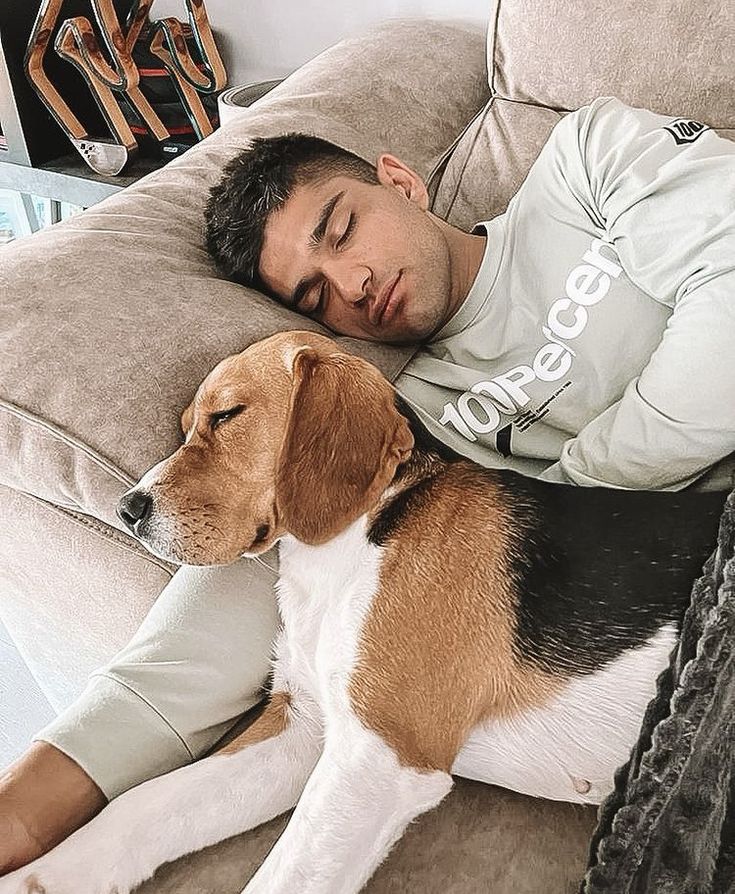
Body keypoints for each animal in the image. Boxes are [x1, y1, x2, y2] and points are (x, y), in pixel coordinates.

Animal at [1, 330, 724, 894]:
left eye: (227, 416)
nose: (126, 509)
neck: (352, 541)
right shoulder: (304, 729)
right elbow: (137, 809)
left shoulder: (377, 760)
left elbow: (281, 875)